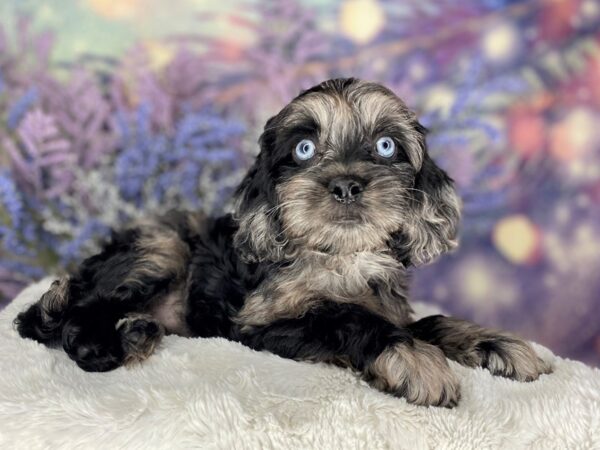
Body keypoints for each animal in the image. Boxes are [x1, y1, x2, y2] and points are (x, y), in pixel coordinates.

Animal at [14, 78, 552, 408]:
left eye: (386, 146)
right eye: (304, 148)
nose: (346, 185)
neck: (338, 258)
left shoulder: (391, 305)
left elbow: (431, 321)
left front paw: (494, 342)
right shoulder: (259, 327)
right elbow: (344, 316)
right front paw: (414, 359)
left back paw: (137, 330)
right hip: (160, 248)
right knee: (73, 323)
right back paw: (118, 341)